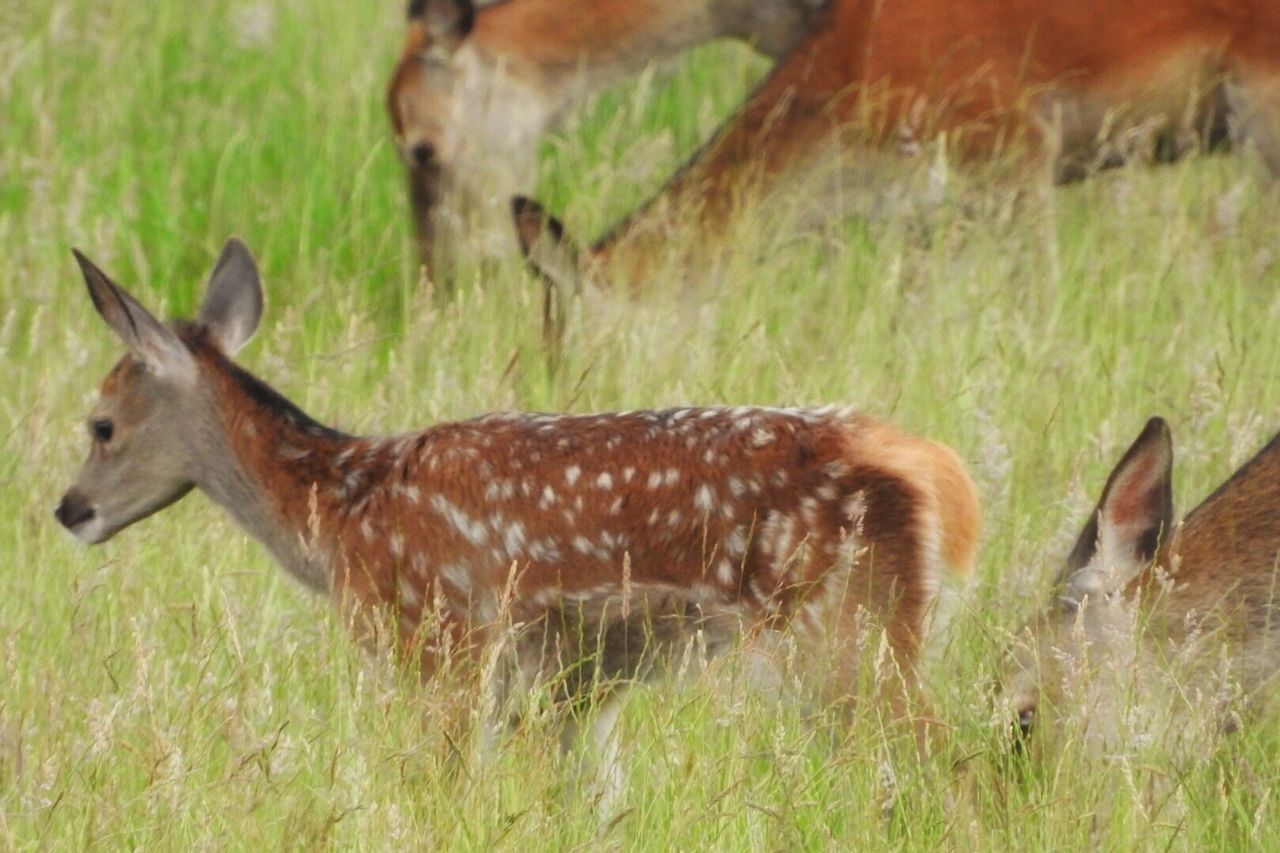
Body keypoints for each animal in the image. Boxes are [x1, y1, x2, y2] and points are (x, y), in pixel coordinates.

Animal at [55, 236, 977, 768]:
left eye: (101, 424)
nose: (70, 509)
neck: (337, 510)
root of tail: (924, 463)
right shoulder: (574, 687)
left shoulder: (442, 644)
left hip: (837, 627)